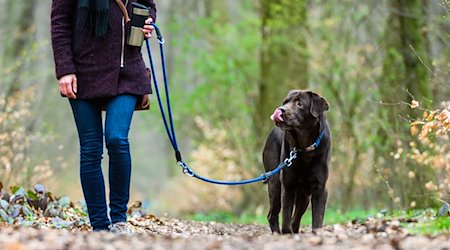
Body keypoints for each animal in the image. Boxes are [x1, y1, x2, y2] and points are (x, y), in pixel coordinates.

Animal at [264, 90, 330, 234]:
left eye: (300, 104)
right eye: (285, 102)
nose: (280, 109)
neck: (304, 147)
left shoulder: (320, 189)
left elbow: (317, 220)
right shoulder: (287, 186)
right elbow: (285, 220)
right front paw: (286, 233)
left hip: (304, 196)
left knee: (296, 217)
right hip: (275, 183)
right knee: (273, 215)